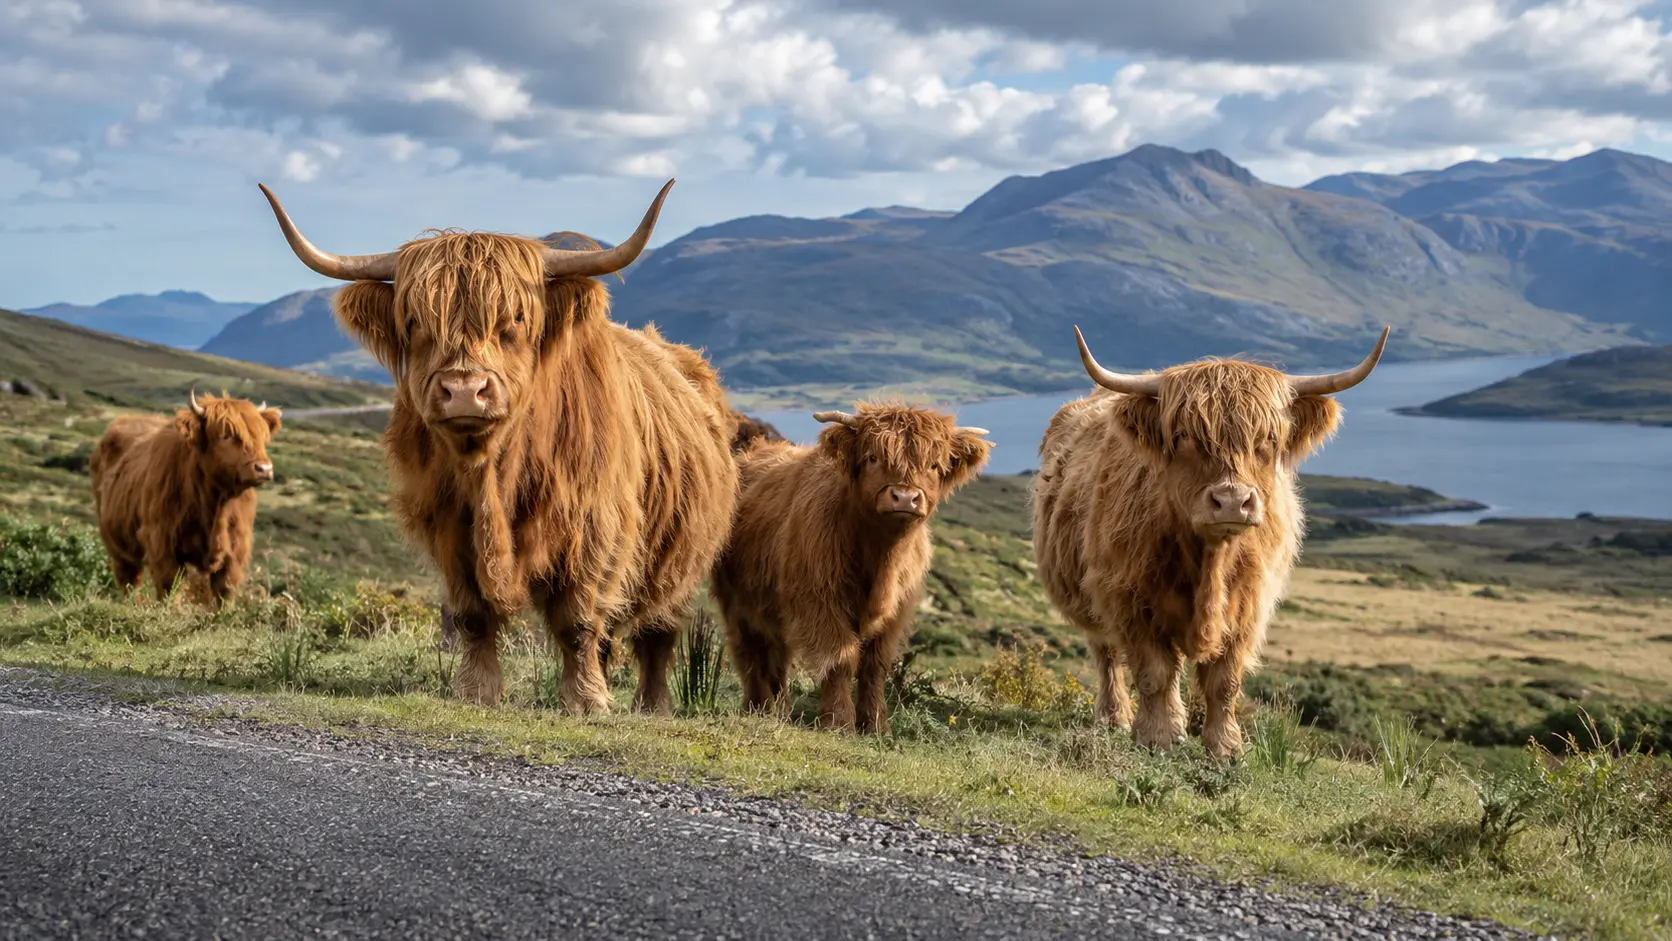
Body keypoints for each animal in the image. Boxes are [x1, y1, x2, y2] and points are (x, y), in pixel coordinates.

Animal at [90, 390, 281, 607]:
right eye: (226, 435)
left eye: (262, 437)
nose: (264, 469)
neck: (216, 505)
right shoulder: (162, 543)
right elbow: (170, 586)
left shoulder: (235, 549)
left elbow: (225, 591)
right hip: (118, 544)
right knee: (129, 579)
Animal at [258, 180, 739, 714]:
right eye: (415, 320)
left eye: (517, 317)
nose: (465, 390)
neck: (494, 474)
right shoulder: (450, 529)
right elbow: (472, 616)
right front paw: (478, 691)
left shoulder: (593, 528)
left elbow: (577, 619)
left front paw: (586, 701)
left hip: (681, 559)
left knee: (657, 633)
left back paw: (651, 705)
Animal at [710, 401, 992, 733]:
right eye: (872, 457)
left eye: (935, 465)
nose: (905, 497)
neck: (880, 555)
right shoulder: (821, 602)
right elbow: (840, 660)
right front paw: (838, 722)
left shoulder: (896, 614)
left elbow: (874, 667)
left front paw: (876, 725)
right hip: (736, 602)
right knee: (749, 652)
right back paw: (758, 707)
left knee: (776, 656)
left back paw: (779, 711)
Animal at [1031, 326, 1389, 758]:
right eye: (1184, 435)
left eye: (1269, 437)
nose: (1232, 500)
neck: (1209, 562)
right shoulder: (1128, 597)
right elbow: (1154, 672)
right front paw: (1158, 737)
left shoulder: (1249, 605)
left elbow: (1225, 680)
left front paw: (1225, 747)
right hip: (1091, 596)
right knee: (1107, 654)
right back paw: (1113, 718)